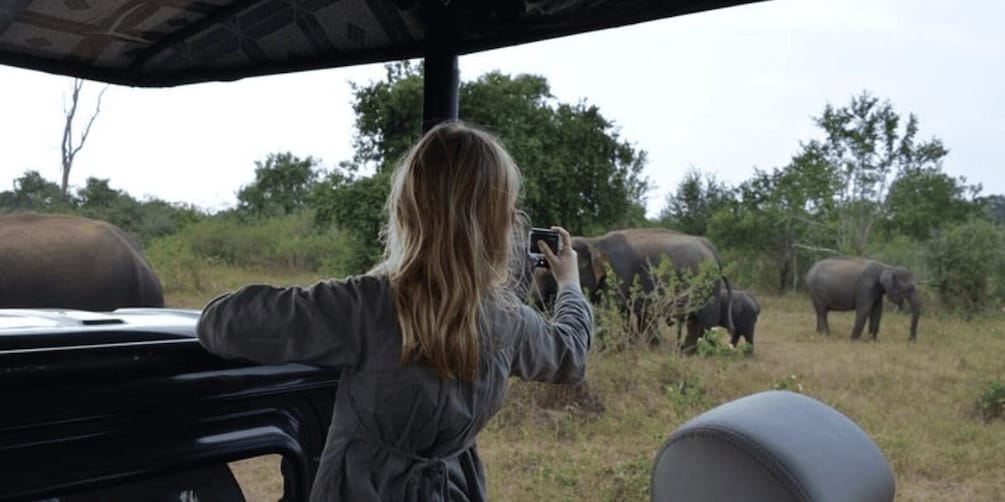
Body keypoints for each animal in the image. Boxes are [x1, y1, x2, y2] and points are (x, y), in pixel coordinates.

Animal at [530, 228, 735, 353]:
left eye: (549, 271)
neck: (595, 242)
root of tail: (711, 247)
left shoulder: (619, 273)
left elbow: (607, 312)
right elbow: (626, 314)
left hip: (708, 287)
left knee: (704, 322)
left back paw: (694, 354)